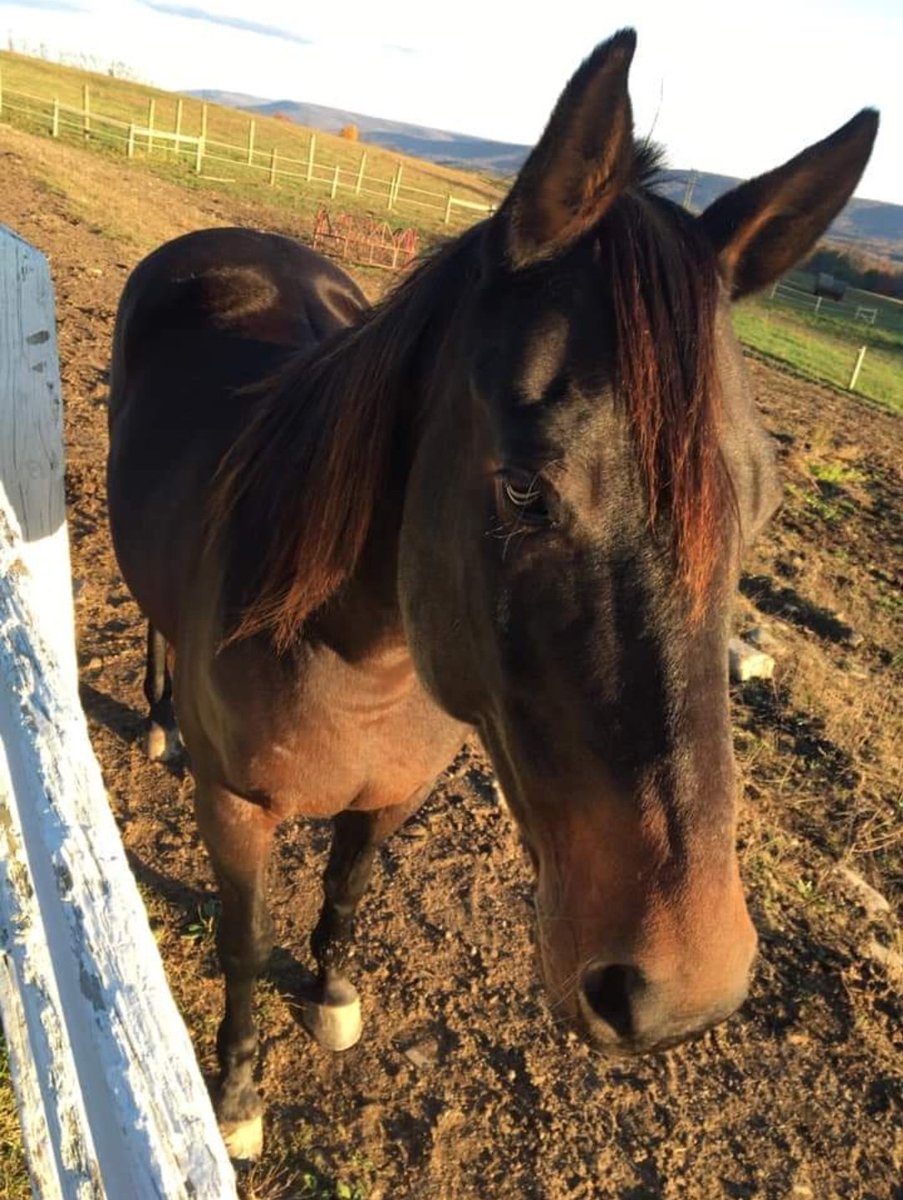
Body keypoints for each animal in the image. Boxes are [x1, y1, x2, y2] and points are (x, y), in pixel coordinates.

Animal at [107, 29, 877, 1160]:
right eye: (523, 486)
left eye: (767, 505)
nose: (682, 987)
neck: (360, 664)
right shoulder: (236, 810)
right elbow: (244, 945)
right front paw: (238, 1096)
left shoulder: (389, 796)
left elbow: (345, 891)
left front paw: (330, 996)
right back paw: (160, 721)